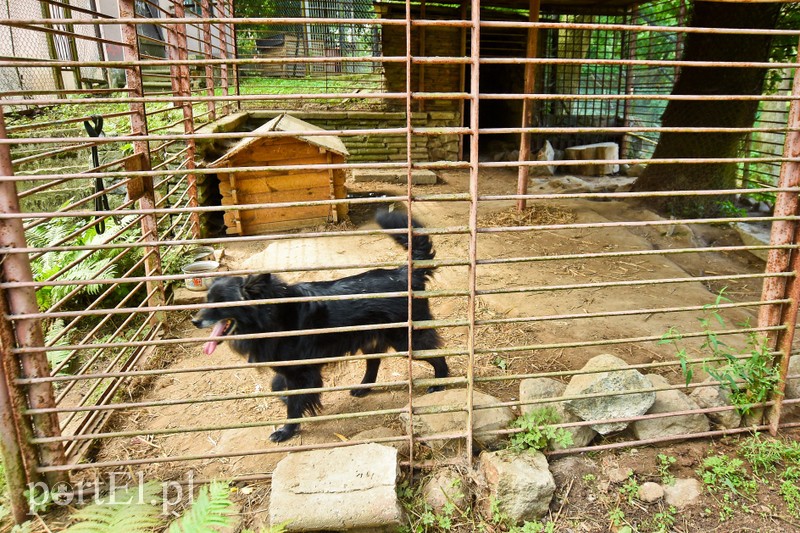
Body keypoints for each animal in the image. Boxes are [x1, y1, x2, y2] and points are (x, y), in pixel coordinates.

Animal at [191, 211, 446, 440]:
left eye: (220, 303)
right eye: (207, 299)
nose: (195, 321)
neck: (272, 315)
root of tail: (405, 273)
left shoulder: (301, 371)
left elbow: (294, 405)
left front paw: (286, 431)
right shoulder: (290, 369)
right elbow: (278, 388)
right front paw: (287, 400)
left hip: (406, 339)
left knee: (437, 355)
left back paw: (440, 383)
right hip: (372, 338)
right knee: (374, 362)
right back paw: (363, 387)